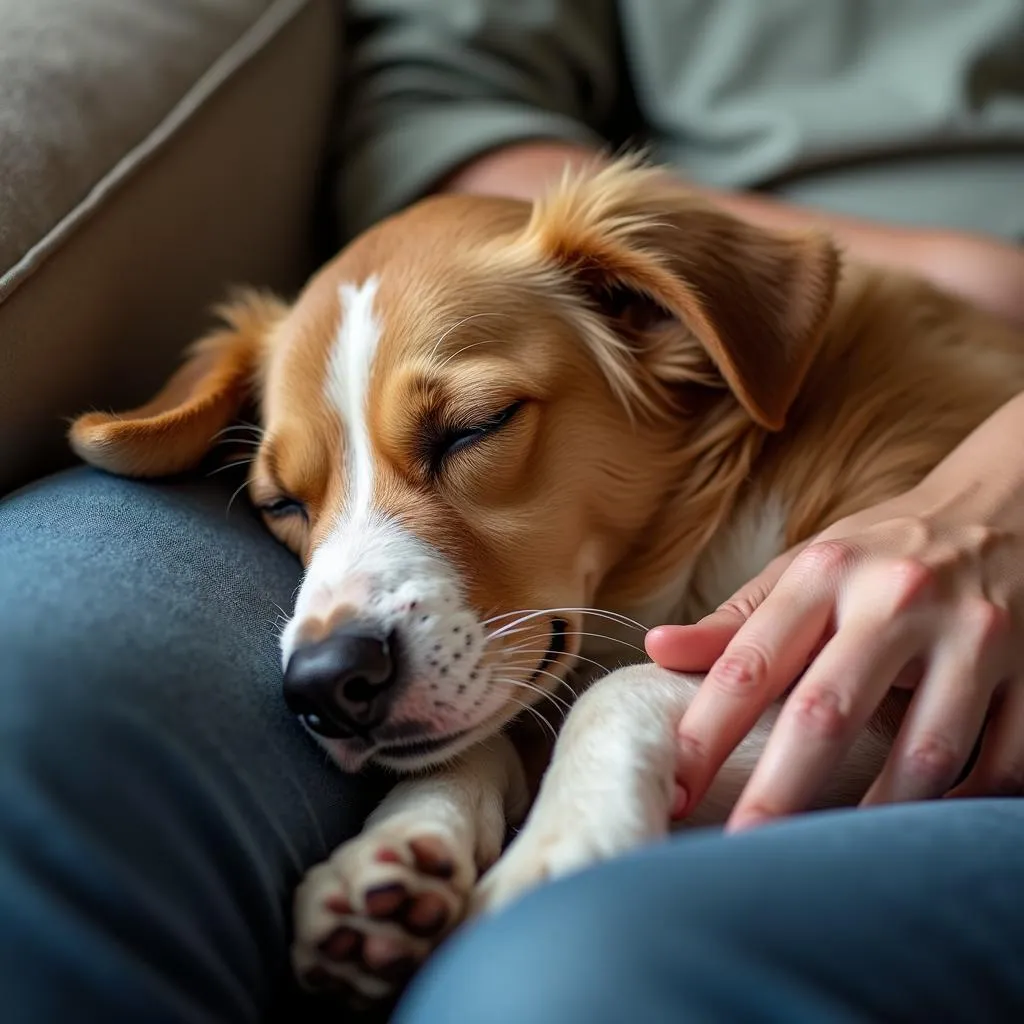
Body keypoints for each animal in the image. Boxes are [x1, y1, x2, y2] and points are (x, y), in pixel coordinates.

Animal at [70, 159, 1024, 1007]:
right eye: (281, 502)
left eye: (473, 428)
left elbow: (624, 687)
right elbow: (491, 731)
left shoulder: (893, 687)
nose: (326, 686)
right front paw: (399, 843)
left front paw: (557, 846)